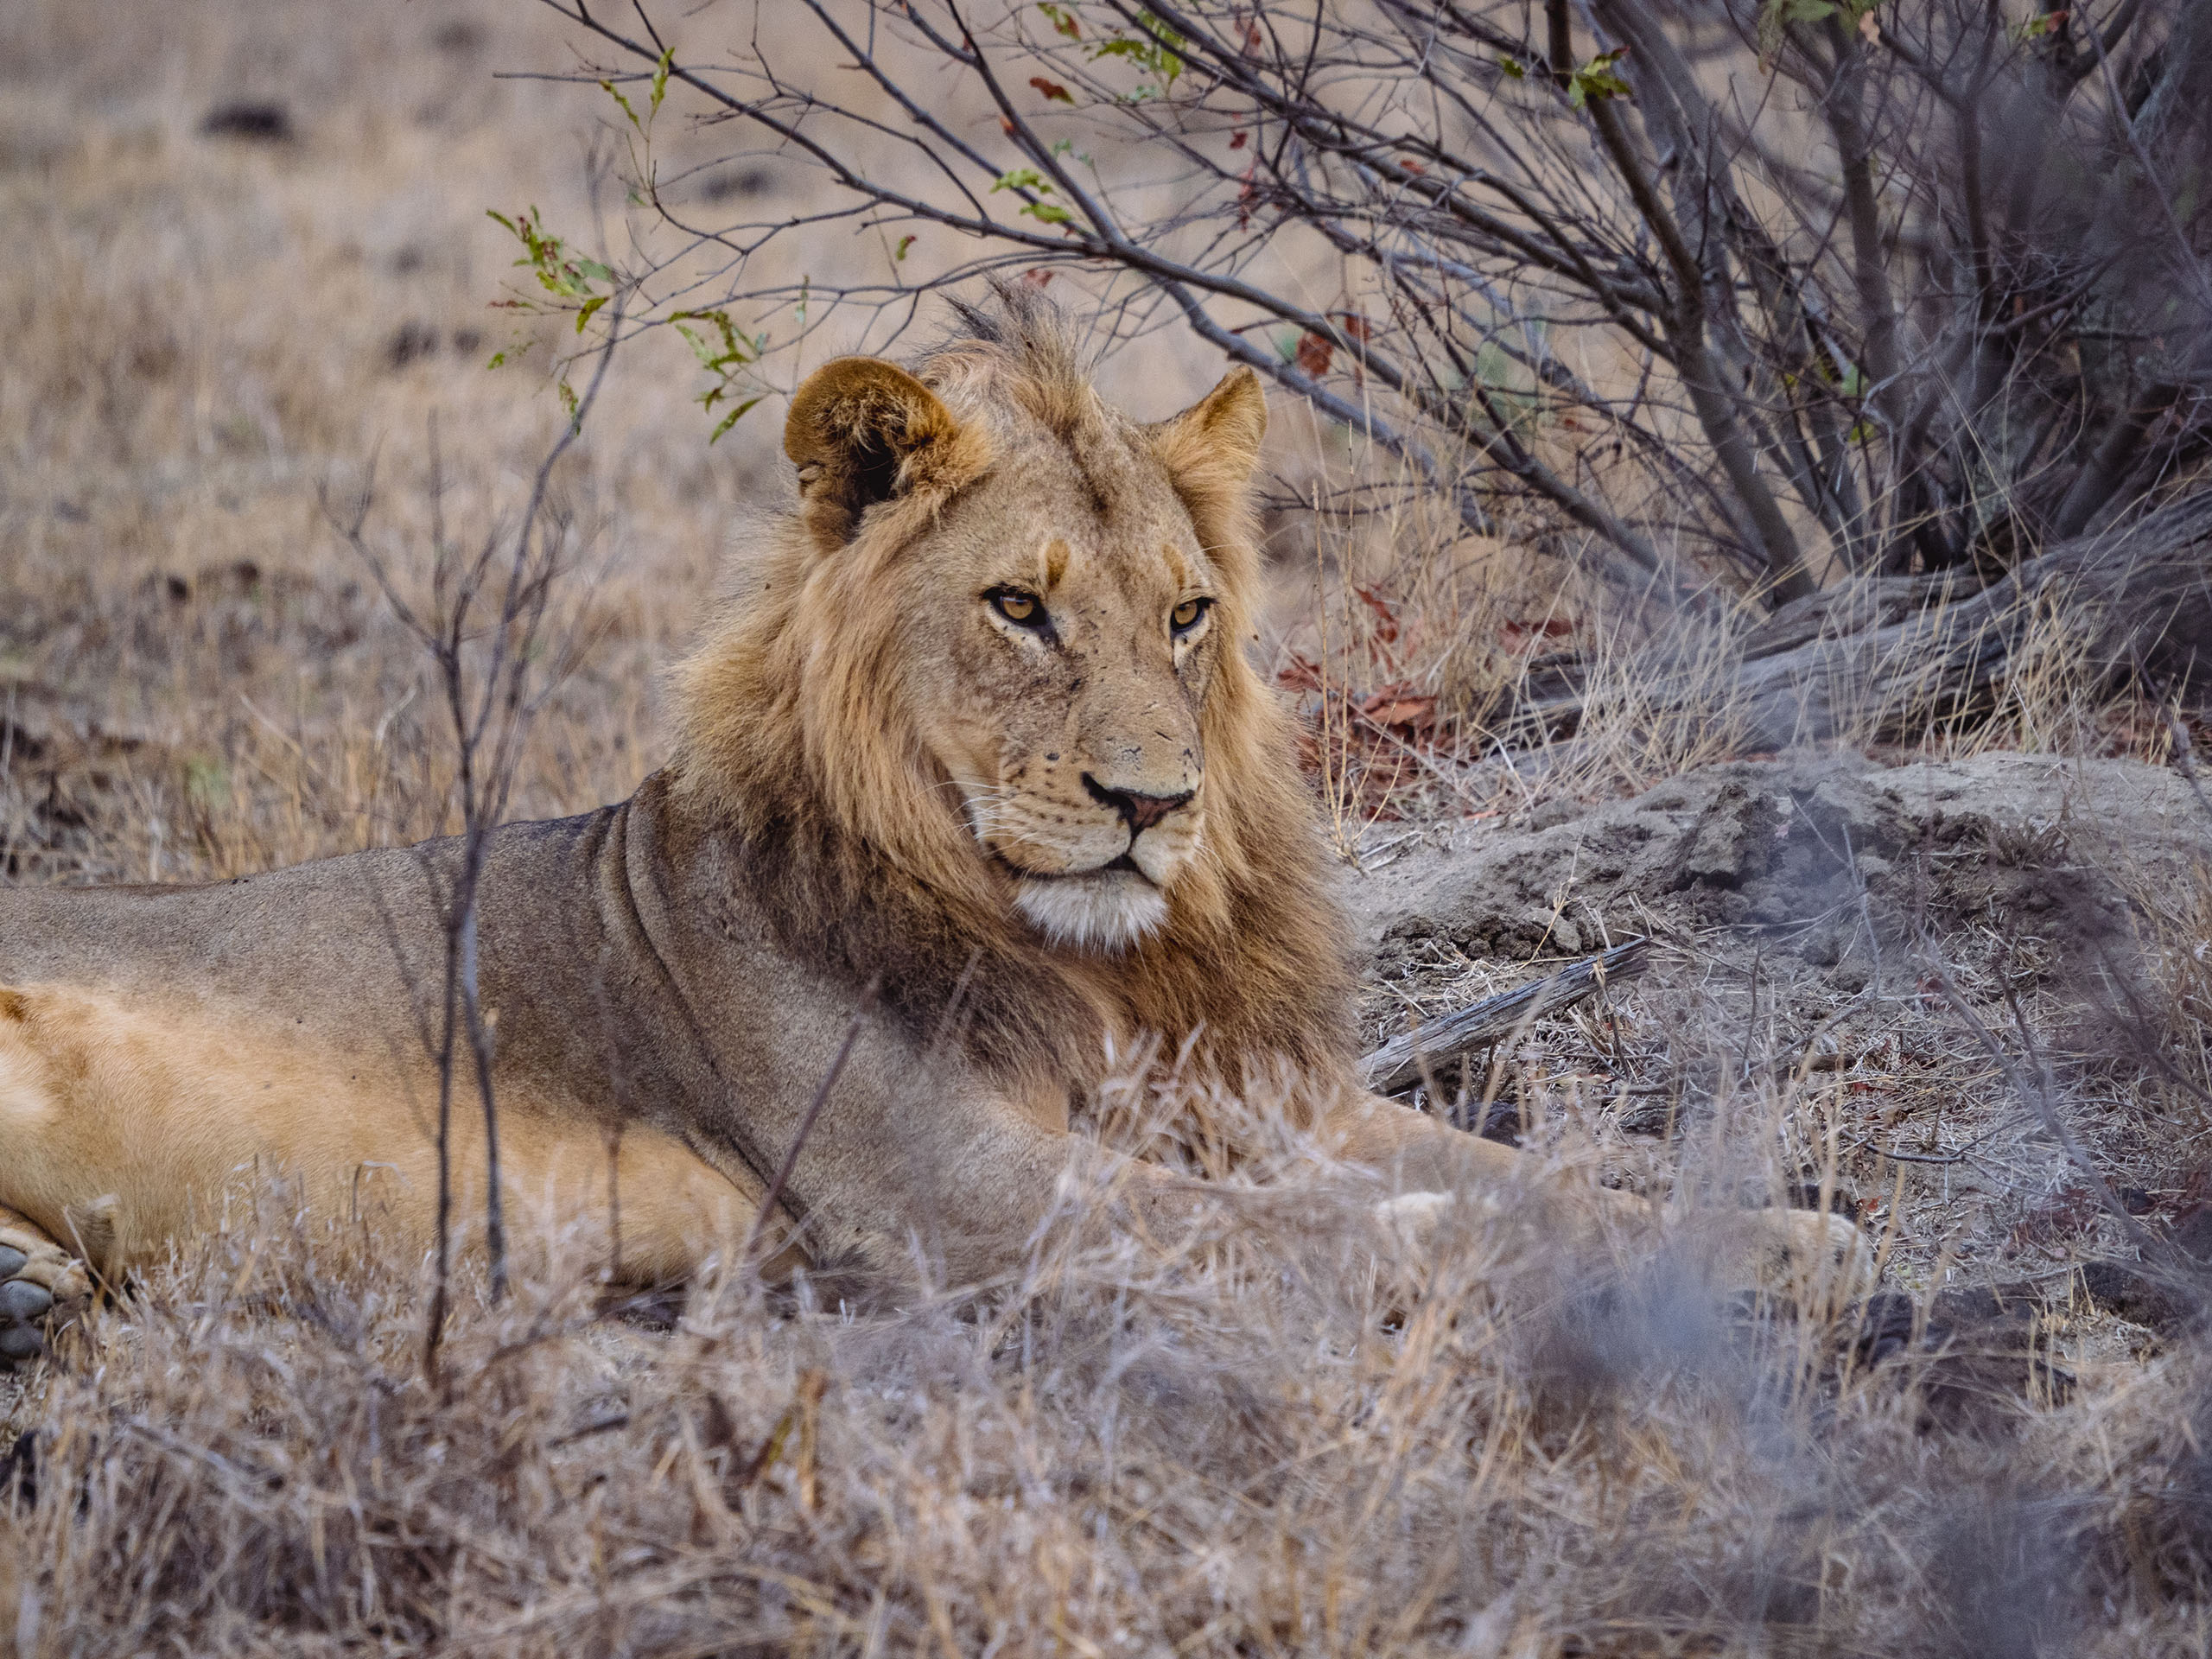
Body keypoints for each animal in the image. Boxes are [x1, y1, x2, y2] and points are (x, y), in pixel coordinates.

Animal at [0, 294, 1863, 1365]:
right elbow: (1329, 1228)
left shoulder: (1263, 1101)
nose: (1152, 805)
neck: (1104, 971)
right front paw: (1463, 1257)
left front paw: (1793, 1245)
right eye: (1018, 610)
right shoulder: (948, 1199)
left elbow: (1538, 1181)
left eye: (1186, 617)